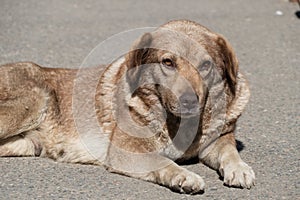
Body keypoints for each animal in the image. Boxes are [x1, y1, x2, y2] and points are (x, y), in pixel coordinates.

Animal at [0, 19, 255, 194]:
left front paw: (239, 168)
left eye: (205, 66)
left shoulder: (217, 141)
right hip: (35, 99)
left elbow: (229, 152)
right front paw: (183, 176)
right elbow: (163, 161)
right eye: (168, 62)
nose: (190, 101)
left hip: (26, 143)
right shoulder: (126, 150)